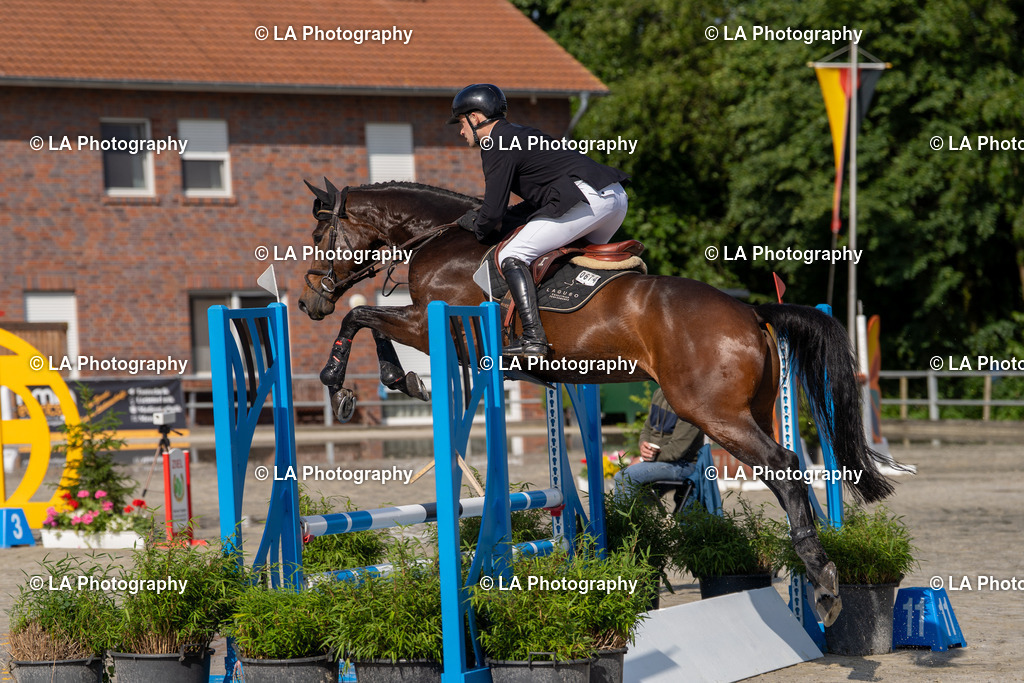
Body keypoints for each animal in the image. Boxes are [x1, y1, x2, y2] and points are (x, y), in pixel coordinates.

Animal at [297, 178, 896, 627]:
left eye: (321, 235)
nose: (306, 302)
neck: (438, 240)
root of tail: (751, 312)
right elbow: (369, 319)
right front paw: (394, 380)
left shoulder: (436, 325)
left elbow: (364, 316)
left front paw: (351, 382)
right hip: (754, 407)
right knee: (788, 469)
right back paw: (818, 568)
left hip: (713, 412)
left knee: (784, 466)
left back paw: (822, 581)